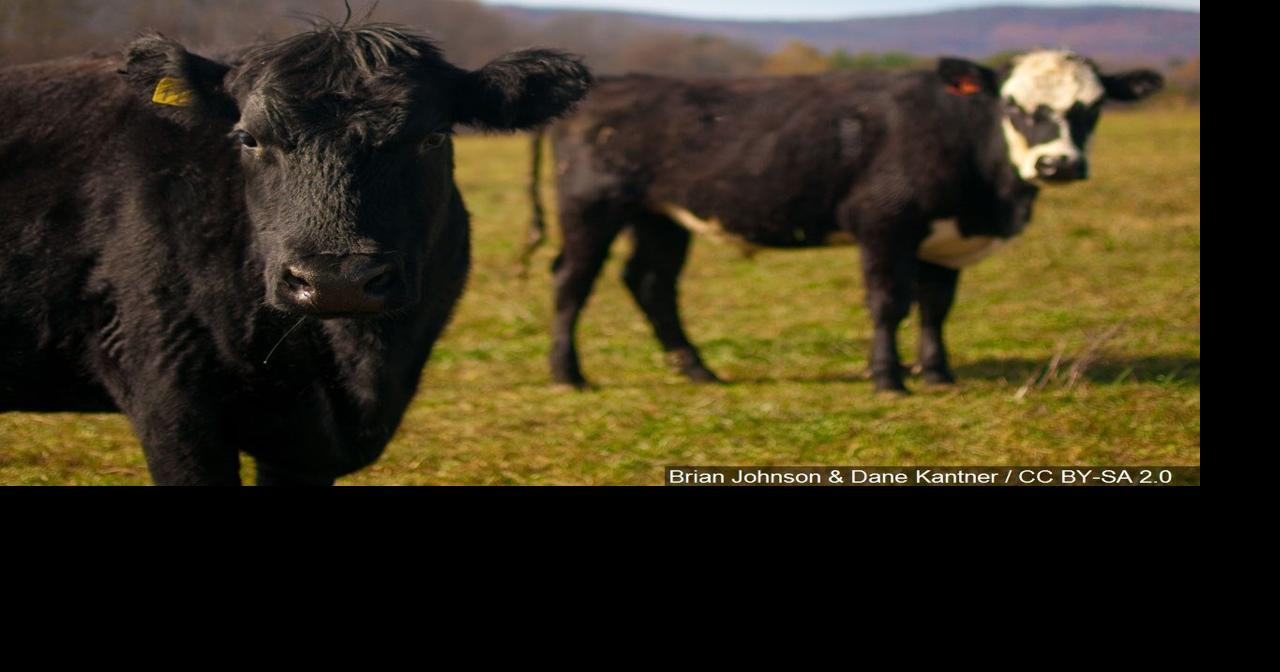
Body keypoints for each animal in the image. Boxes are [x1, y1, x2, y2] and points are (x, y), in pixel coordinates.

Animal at [526, 50, 1162, 394]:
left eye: (1093, 107)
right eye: (1012, 104)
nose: (1059, 164)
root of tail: (605, 83)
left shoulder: (942, 240)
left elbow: (936, 307)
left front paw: (938, 374)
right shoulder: (883, 222)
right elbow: (888, 302)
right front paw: (888, 379)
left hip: (661, 216)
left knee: (651, 283)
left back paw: (696, 368)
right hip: (592, 209)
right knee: (571, 282)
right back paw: (567, 374)